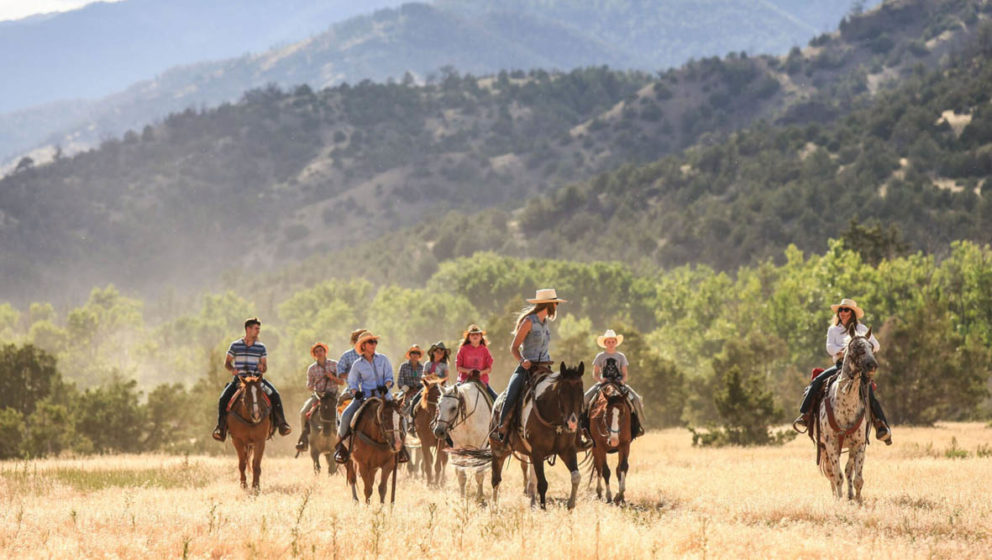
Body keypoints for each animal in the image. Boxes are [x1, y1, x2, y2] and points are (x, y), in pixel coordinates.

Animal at [454, 360, 584, 510]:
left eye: (581, 391)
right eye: (561, 391)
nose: (572, 423)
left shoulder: (567, 450)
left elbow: (576, 476)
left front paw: (570, 505)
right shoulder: (538, 452)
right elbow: (543, 483)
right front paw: (543, 508)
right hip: (498, 450)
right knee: (496, 479)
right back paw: (494, 506)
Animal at [812, 326, 876, 500]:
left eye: (871, 347)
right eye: (857, 347)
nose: (873, 365)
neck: (846, 407)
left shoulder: (860, 444)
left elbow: (857, 477)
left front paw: (858, 499)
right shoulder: (831, 444)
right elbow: (837, 475)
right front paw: (839, 500)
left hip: (851, 448)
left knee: (848, 470)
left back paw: (850, 495)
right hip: (825, 448)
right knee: (831, 474)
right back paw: (837, 495)